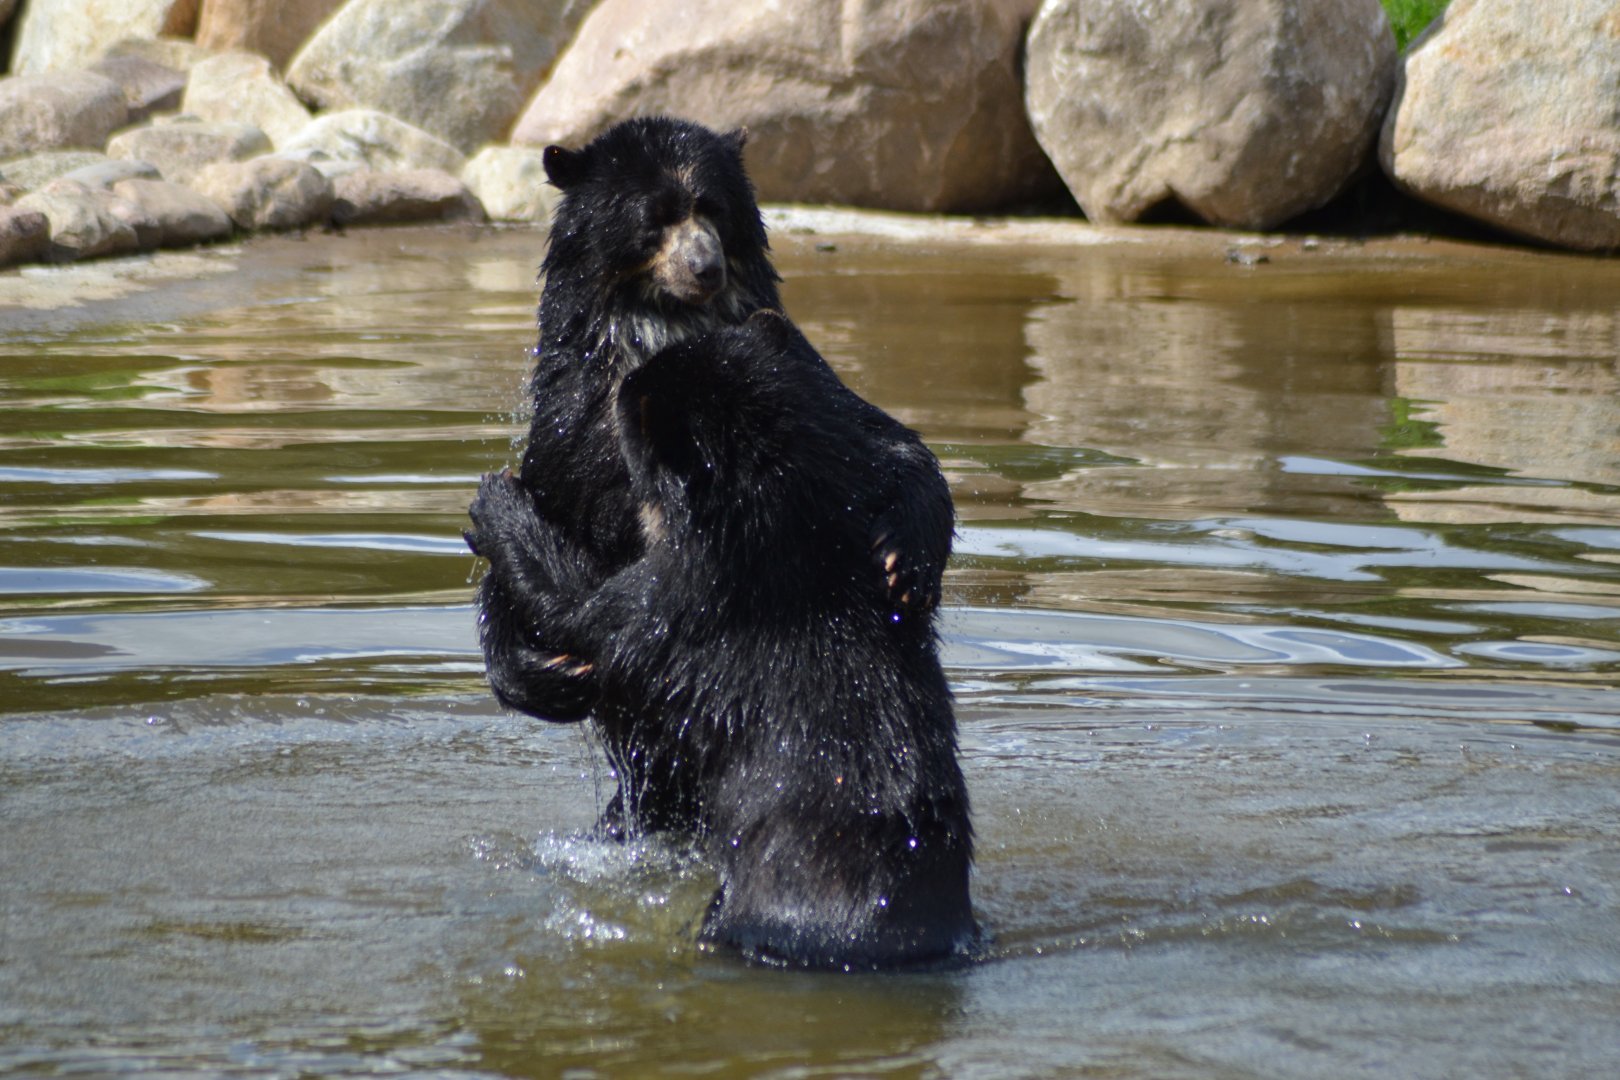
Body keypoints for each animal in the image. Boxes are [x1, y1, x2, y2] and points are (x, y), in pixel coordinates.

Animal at [473, 116, 953, 835]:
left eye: (714, 209)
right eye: (656, 216)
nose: (705, 266)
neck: (665, 328)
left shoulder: (797, 371)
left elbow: (892, 447)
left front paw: (903, 561)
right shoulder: (571, 429)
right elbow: (544, 543)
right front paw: (545, 671)